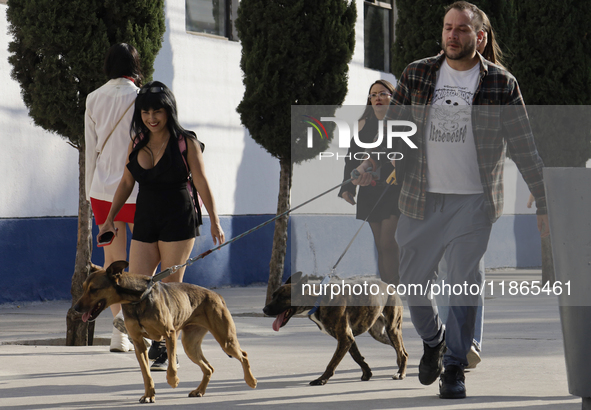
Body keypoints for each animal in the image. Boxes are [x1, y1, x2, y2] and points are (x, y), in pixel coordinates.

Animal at [72, 262, 256, 402]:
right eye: (83, 288)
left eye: (94, 289)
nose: (76, 308)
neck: (137, 300)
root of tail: (217, 295)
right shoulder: (139, 343)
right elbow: (146, 373)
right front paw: (148, 395)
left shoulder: (169, 334)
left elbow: (172, 365)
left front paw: (173, 381)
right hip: (190, 345)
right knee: (209, 368)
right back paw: (199, 391)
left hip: (226, 340)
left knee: (244, 355)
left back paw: (251, 380)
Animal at [264, 272, 408, 384]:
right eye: (273, 295)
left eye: (282, 298)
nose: (264, 309)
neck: (318, 300)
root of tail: (390, 287)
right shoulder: (349, 338)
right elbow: (357, 357)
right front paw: (367, 373)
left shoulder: (345, 338)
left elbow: (332, 362)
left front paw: (321, 379)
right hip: (379, 334)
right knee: (399, 349)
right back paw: (400, 366)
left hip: (392, 329)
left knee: (402, 352)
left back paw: (400, 373)